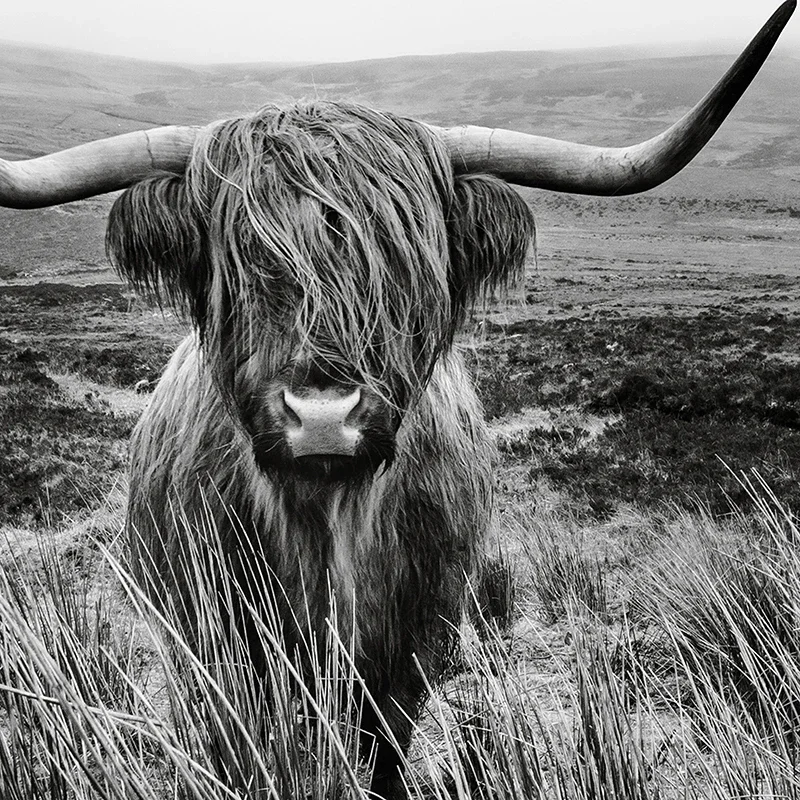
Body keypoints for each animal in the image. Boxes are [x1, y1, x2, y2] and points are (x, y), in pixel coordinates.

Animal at [0, 3, 793, 796]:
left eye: (403, 266)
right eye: (242, 263)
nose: (322, 416)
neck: (326, 520)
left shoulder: (410, 651)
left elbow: (386, 751)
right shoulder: (217, 653)